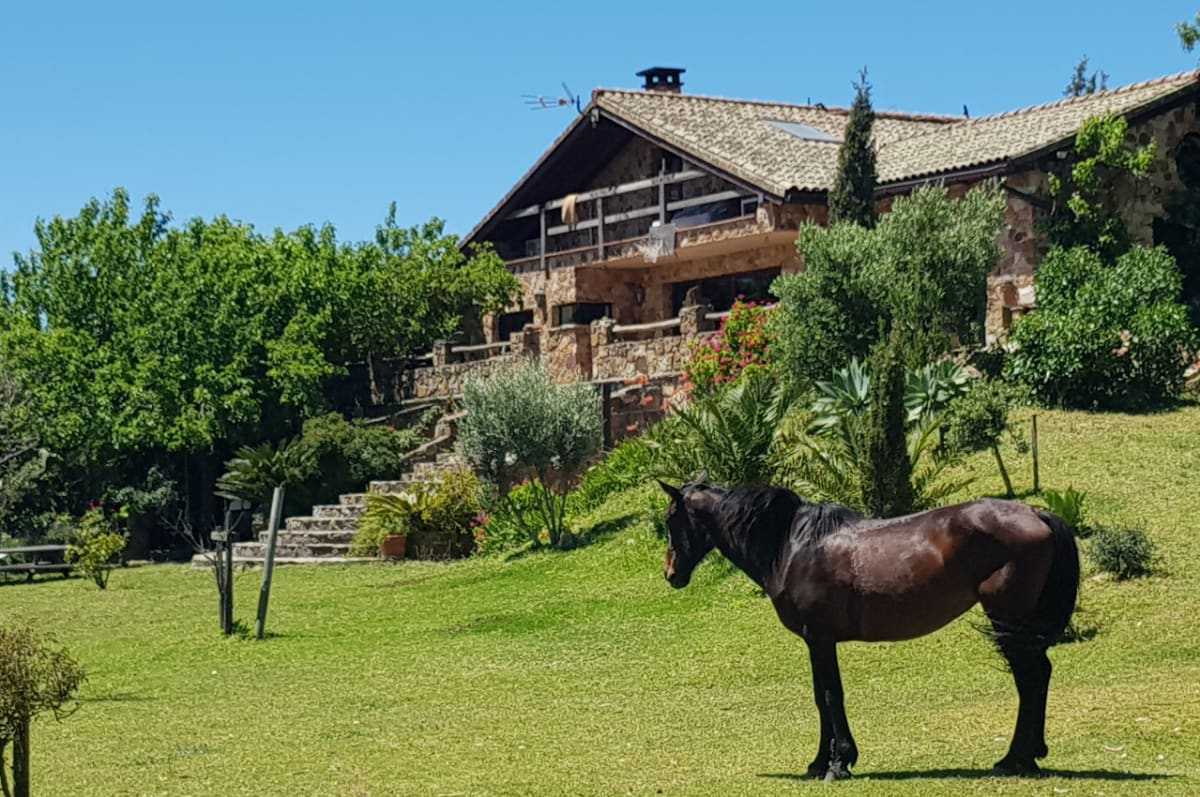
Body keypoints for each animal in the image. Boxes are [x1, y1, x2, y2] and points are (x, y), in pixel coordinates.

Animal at [658, 471, 1079, 782]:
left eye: (670, 519)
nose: (671, 574)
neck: (792, 545)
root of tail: (1037, 514)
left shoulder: (821, 639)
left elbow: (831, 696)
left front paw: (839, 763)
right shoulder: (815, 642)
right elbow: (820, 697)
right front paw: (818, 763)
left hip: (1008, 621)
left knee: (1029, 679)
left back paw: (1013, 759)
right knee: (1039, 675)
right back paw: (1029, 755)